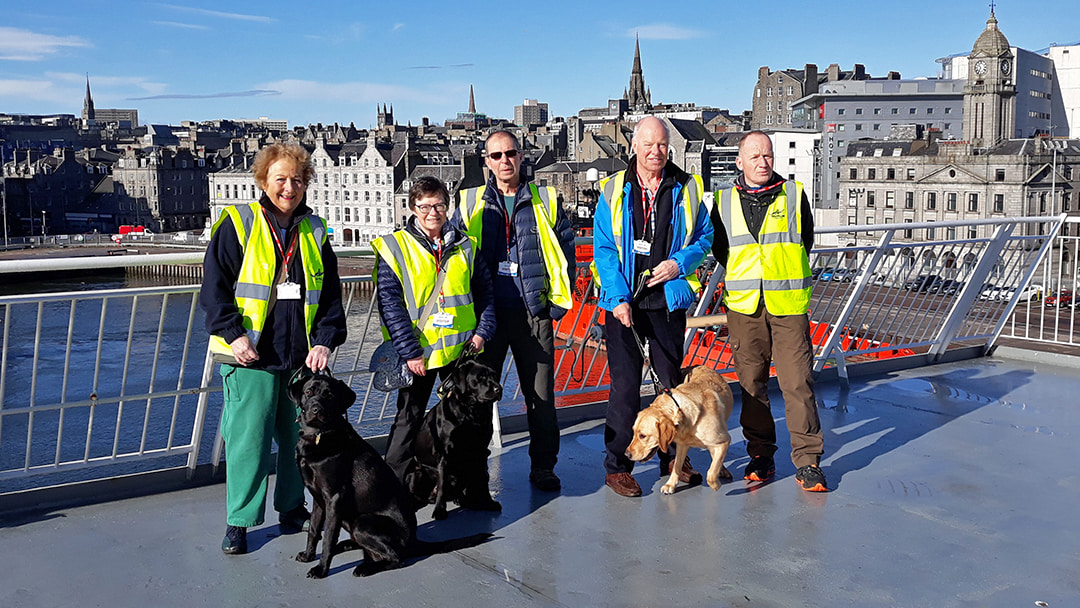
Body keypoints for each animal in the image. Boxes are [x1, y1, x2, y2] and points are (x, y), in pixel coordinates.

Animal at [289, 371, 488, 578]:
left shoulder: (334, 498)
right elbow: (314, 530)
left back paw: (365, 567)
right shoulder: (318, 498)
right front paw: (308, 555)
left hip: (362, 522)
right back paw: (345, 546)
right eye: (309, 392)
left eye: (329, 395)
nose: (316, 409)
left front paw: (321, 569)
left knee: (396, 558)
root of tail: (414, 541)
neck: (318, 436)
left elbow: (328, 536)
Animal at [406, 358, 505, 520]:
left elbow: (483, 480)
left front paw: (488, 502)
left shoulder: (481, 450)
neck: (471, 412)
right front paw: (440, 511)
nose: (499, 389)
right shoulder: (444, 454)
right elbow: (441, 486)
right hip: (417, 473)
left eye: (495, 376)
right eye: (481, 377)